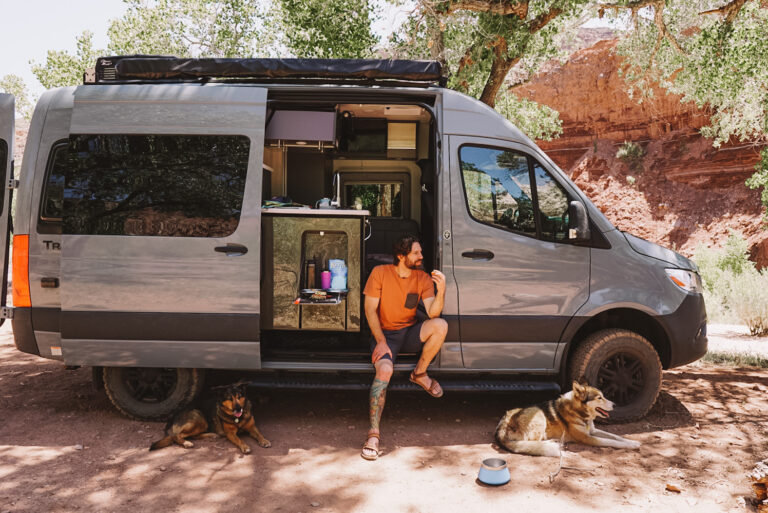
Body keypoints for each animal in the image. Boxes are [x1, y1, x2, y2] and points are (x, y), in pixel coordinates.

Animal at [496, 380, 640, 456]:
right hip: (539, 414)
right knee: (531, 442)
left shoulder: (593, 431)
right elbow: (611, 441)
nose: (615, 405)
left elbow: (616, 436)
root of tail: (502, 424)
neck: (580, 413)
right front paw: (631, 446)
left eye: (603, 396)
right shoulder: (588, 438)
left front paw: (632, 441)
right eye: (599, 398)